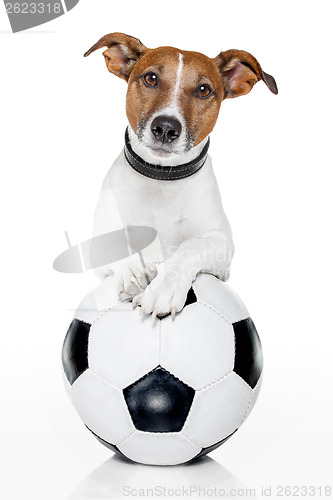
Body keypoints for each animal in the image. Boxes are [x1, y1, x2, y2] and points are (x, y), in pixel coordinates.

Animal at [84, 33, 276, 318]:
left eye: (203, 90)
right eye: (151, 78)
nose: (165, 127)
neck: (161, 179)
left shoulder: (221, 243)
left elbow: (190, 247)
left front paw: (164, 286)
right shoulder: (98, 242)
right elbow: (114, 245)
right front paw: (133, 271)